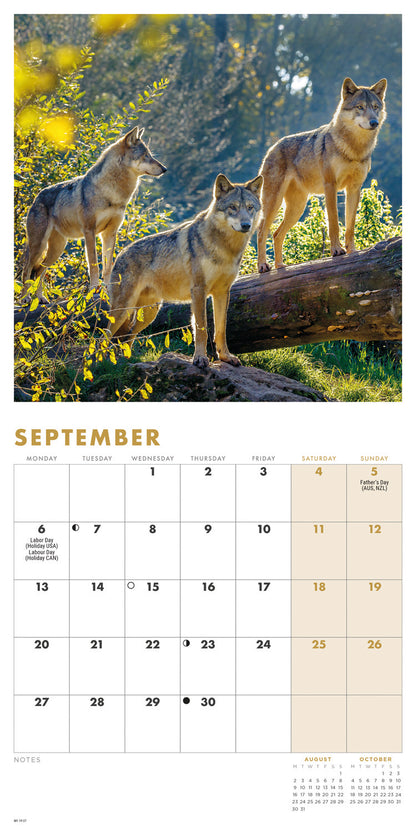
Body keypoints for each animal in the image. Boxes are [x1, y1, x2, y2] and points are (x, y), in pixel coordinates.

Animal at [20, 126, 167, 300]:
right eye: (146, 156)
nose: (165, 169)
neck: (113, 193)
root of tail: (37, 197)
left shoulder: (110, 233)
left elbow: (108, 267)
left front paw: (107, 291)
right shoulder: (89, 231)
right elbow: (94, 265)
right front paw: (93, 290)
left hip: (57, 248)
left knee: (39, 272)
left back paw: (41, 299)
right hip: (39, 245)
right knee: (27, 270)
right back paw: (25, 298)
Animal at [108, 173, 263, 368]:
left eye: (250, 208)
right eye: (232, 208)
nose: (246, 225)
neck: (225, 248)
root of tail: (120, 253)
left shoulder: (222, 292)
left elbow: (221, 329)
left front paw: (226, 357)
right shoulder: (199, 290)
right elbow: (202, 329)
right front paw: (200, 359)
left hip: (148, 313)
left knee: (128, 336)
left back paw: (124, 360)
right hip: (123, 310)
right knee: (104, 334)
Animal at [257, 77, 387, 272]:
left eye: (375, 107)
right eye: (360, 107)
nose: (374, 122)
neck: (353, 149)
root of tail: (271, 147)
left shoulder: (354, 188)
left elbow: (350, 225)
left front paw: (352, 251)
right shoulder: (330, 186)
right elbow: (333, 222)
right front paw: (337, 250)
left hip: (297, 207)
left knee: (277, 233)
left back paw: (280, 266)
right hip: (274, 203)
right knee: (261, 231)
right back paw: (263, 266)